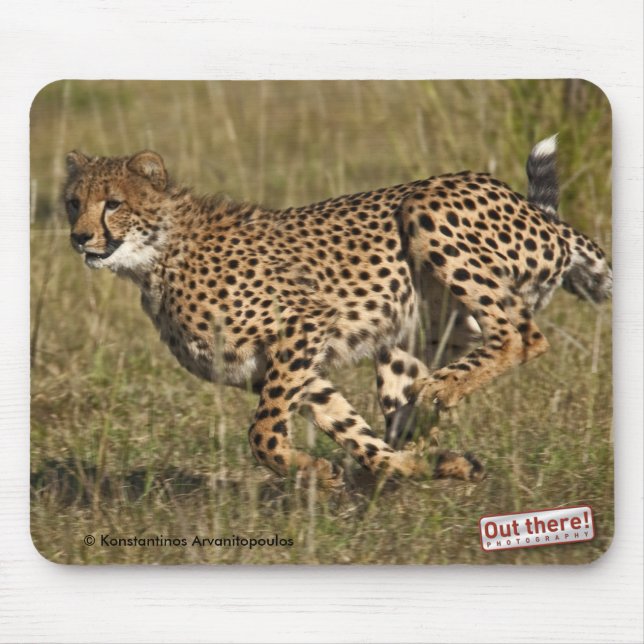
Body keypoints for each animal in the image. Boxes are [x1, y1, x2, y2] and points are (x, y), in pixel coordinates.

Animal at [64, 135, 612, 488]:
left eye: (113, 204)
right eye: (73, 202)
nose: (79, 238)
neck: (156, 258)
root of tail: (539, 215)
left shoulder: (302, 323)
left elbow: (262, 433)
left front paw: (311, 468)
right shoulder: (280, 365)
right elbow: (349, 429)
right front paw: (389, 469)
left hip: (427, 206)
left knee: (522, 335)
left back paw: (442, 390)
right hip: (413, 337)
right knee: (406, 411)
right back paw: (432, 450)